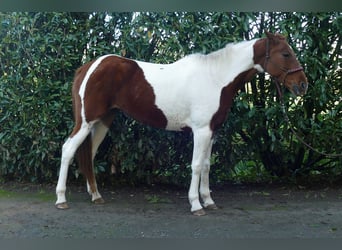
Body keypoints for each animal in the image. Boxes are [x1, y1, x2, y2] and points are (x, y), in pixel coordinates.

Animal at [55, 30, 308, 215]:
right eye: (286, 54)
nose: (302, 85)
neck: (215, 79)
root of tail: (88, 67)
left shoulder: (212, 132)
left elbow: (206, 165)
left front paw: (209, 201)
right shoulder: (201, 131)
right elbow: (195, 165)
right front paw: (196, 205)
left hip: (102, 122)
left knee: (89, 155)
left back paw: (96, 196)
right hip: (86, 122)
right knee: (68, 150)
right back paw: (61, 199)